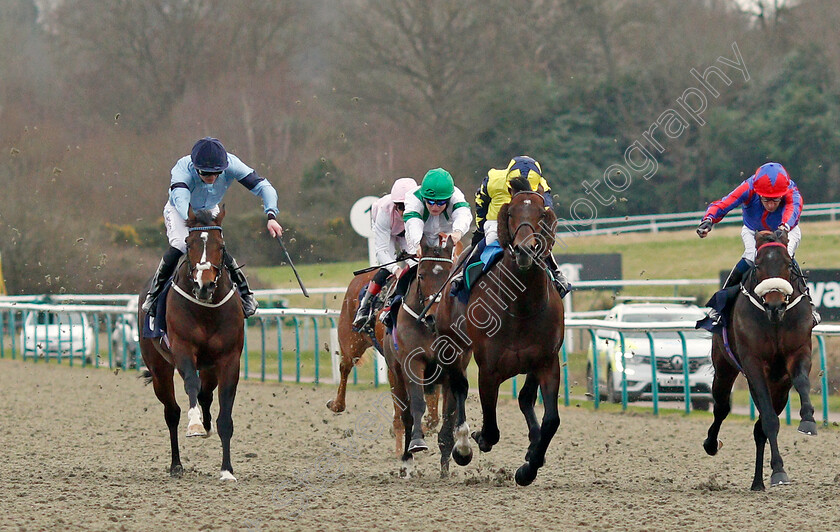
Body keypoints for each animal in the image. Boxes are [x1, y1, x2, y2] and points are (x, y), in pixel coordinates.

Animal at [139, 206, 244, 480]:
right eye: (189, 243)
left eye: (221, 245)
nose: (203, 285)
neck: (206, 310)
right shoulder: (183, 350)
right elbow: (190, 385)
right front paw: (195, 424)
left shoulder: (229, 359)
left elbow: (225, 416)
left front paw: (227, 470)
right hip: (159, 369)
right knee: (172, 411)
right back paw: (176, 464)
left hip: (209, 366)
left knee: (206, 393)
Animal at [380, 235, 466, 476]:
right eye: (421, 275)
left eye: (450, 275)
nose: (432, 317)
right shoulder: (413, 363)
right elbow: (417, 405)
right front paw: (417, 442)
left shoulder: (453, 367)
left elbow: (449, 414)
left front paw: (446, 462)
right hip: (396, 375)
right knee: (405, 414)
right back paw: (406, 459)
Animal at [434, 182, 564, 486]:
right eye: (512, 213)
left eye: (541, 213)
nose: (525, 250)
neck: (521, 306)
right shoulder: (488, 369)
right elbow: (491, 428)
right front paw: (476, 438)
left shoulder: (547, 362)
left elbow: (551, 420)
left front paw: (529, 467)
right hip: (453, 346)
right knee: (459, 386)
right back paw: (462, 445)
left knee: (525, 398)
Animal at [700, 231, 816, 488]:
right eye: (758, 266)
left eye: (788, 265)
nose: (775, 305)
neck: (774, 320)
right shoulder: (753, 364)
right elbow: (770, 421)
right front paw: (779, 471)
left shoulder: (799, 351)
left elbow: (802, 383)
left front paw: (808, 421)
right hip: (724, 368)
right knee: (722, 407)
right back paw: (712, 444)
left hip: (779, 389)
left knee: (758, 427)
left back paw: (757, 483)